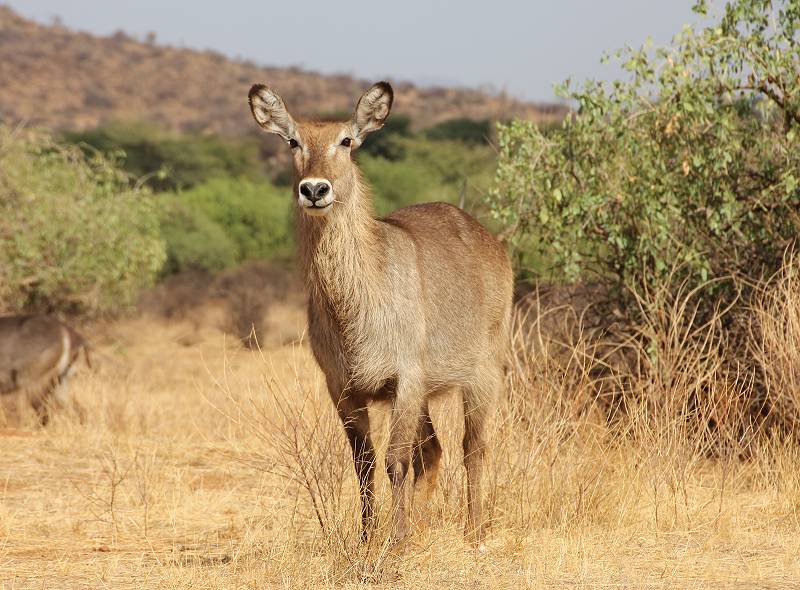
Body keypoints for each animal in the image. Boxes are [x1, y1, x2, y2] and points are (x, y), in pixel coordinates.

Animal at [247, 81, 516, 544]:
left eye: (346, 141)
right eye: (294, 141)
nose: (315, 190)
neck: (355, 306)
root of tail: (487, 238)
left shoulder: (405, 379)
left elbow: (396, 461)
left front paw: (398, 541)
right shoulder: (344, 389)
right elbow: (365, 464)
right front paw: (369, 537)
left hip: (480, 375)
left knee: (473, 447)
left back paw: (475, 530)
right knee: (435, 452)